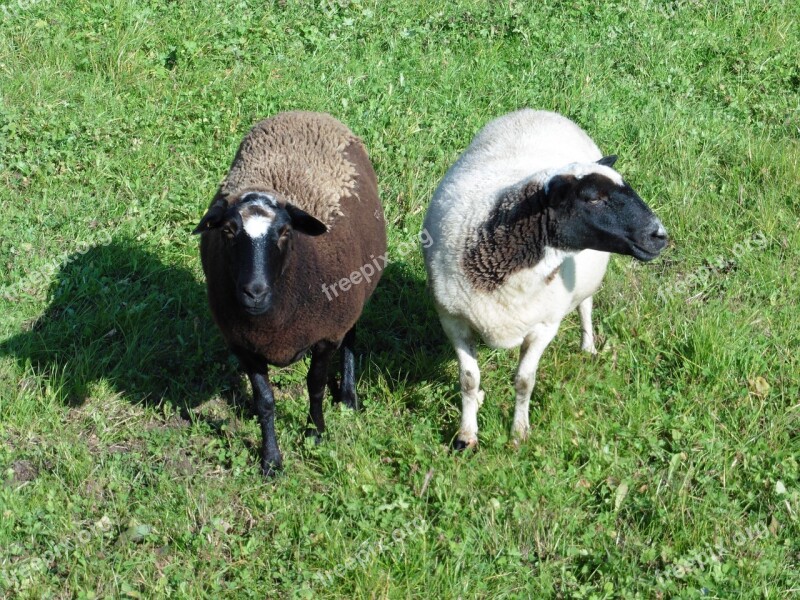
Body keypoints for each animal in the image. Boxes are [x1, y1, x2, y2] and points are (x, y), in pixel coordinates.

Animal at [424, 109, 668, 446]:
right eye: (592, 198)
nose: (660, 235)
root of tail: (536, 111)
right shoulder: (452, 319)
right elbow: (469, 380)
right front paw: (466, 435)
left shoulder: (544, 327)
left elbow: (524, 381)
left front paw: (518, 434)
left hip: (586, 282)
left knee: (586, 306)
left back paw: (588, 347)